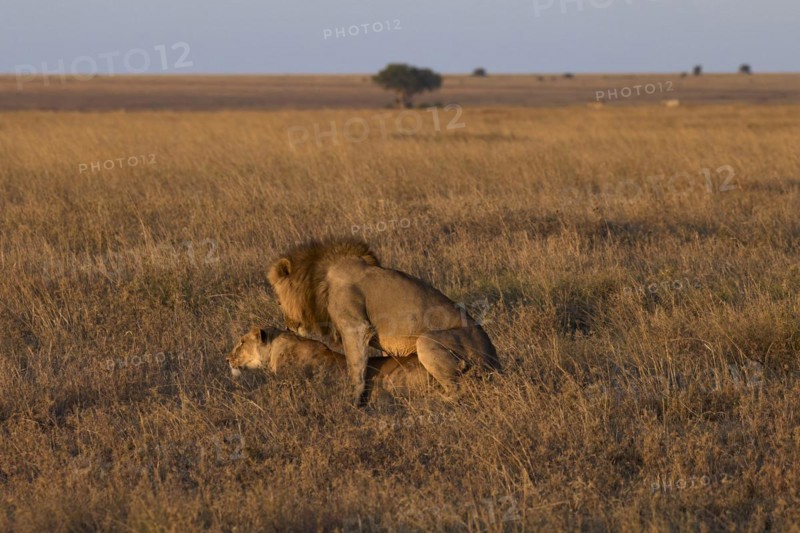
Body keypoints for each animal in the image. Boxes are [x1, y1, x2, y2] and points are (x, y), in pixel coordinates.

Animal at [267, 238, 501, 405]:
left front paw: (352, 404)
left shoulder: (355, 327)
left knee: (459, 389)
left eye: (278, 301)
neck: (318, 278)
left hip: (429, 342)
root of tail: (496, 360)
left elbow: (355, 370)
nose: (287, 326)